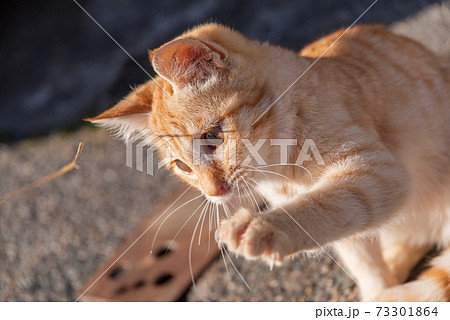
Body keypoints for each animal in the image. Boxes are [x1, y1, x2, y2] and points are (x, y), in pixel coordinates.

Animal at [87, 23, 450, 302]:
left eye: (212, 137)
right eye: (183, 167)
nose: (213, 192)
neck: (283, 172)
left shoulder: (379, 173)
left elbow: (327, 204)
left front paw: (265, 226)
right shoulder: (353, 236)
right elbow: (364, 261)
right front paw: (376, 289)